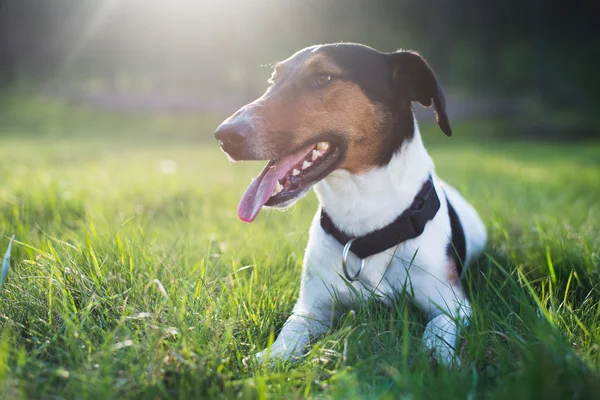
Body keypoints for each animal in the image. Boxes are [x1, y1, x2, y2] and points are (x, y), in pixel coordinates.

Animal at [213, 43, 486, 366]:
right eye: (273, 80)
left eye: (323, 78)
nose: (224, 135)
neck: (365, 221)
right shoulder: (312, 306)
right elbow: (290, 331)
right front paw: (269, 357)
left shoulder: (452, 302)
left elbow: (438, 327)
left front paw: (438, 356)